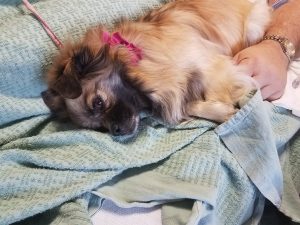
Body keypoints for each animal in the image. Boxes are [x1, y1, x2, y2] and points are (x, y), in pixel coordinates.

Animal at [41, 0, 270, 135]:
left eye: (98, 102)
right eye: (98, 128)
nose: (116, 131)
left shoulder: (210, 66)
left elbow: (216, 91)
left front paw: (229, 109)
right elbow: (188, 104)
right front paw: (219, 111)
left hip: (253, 26)